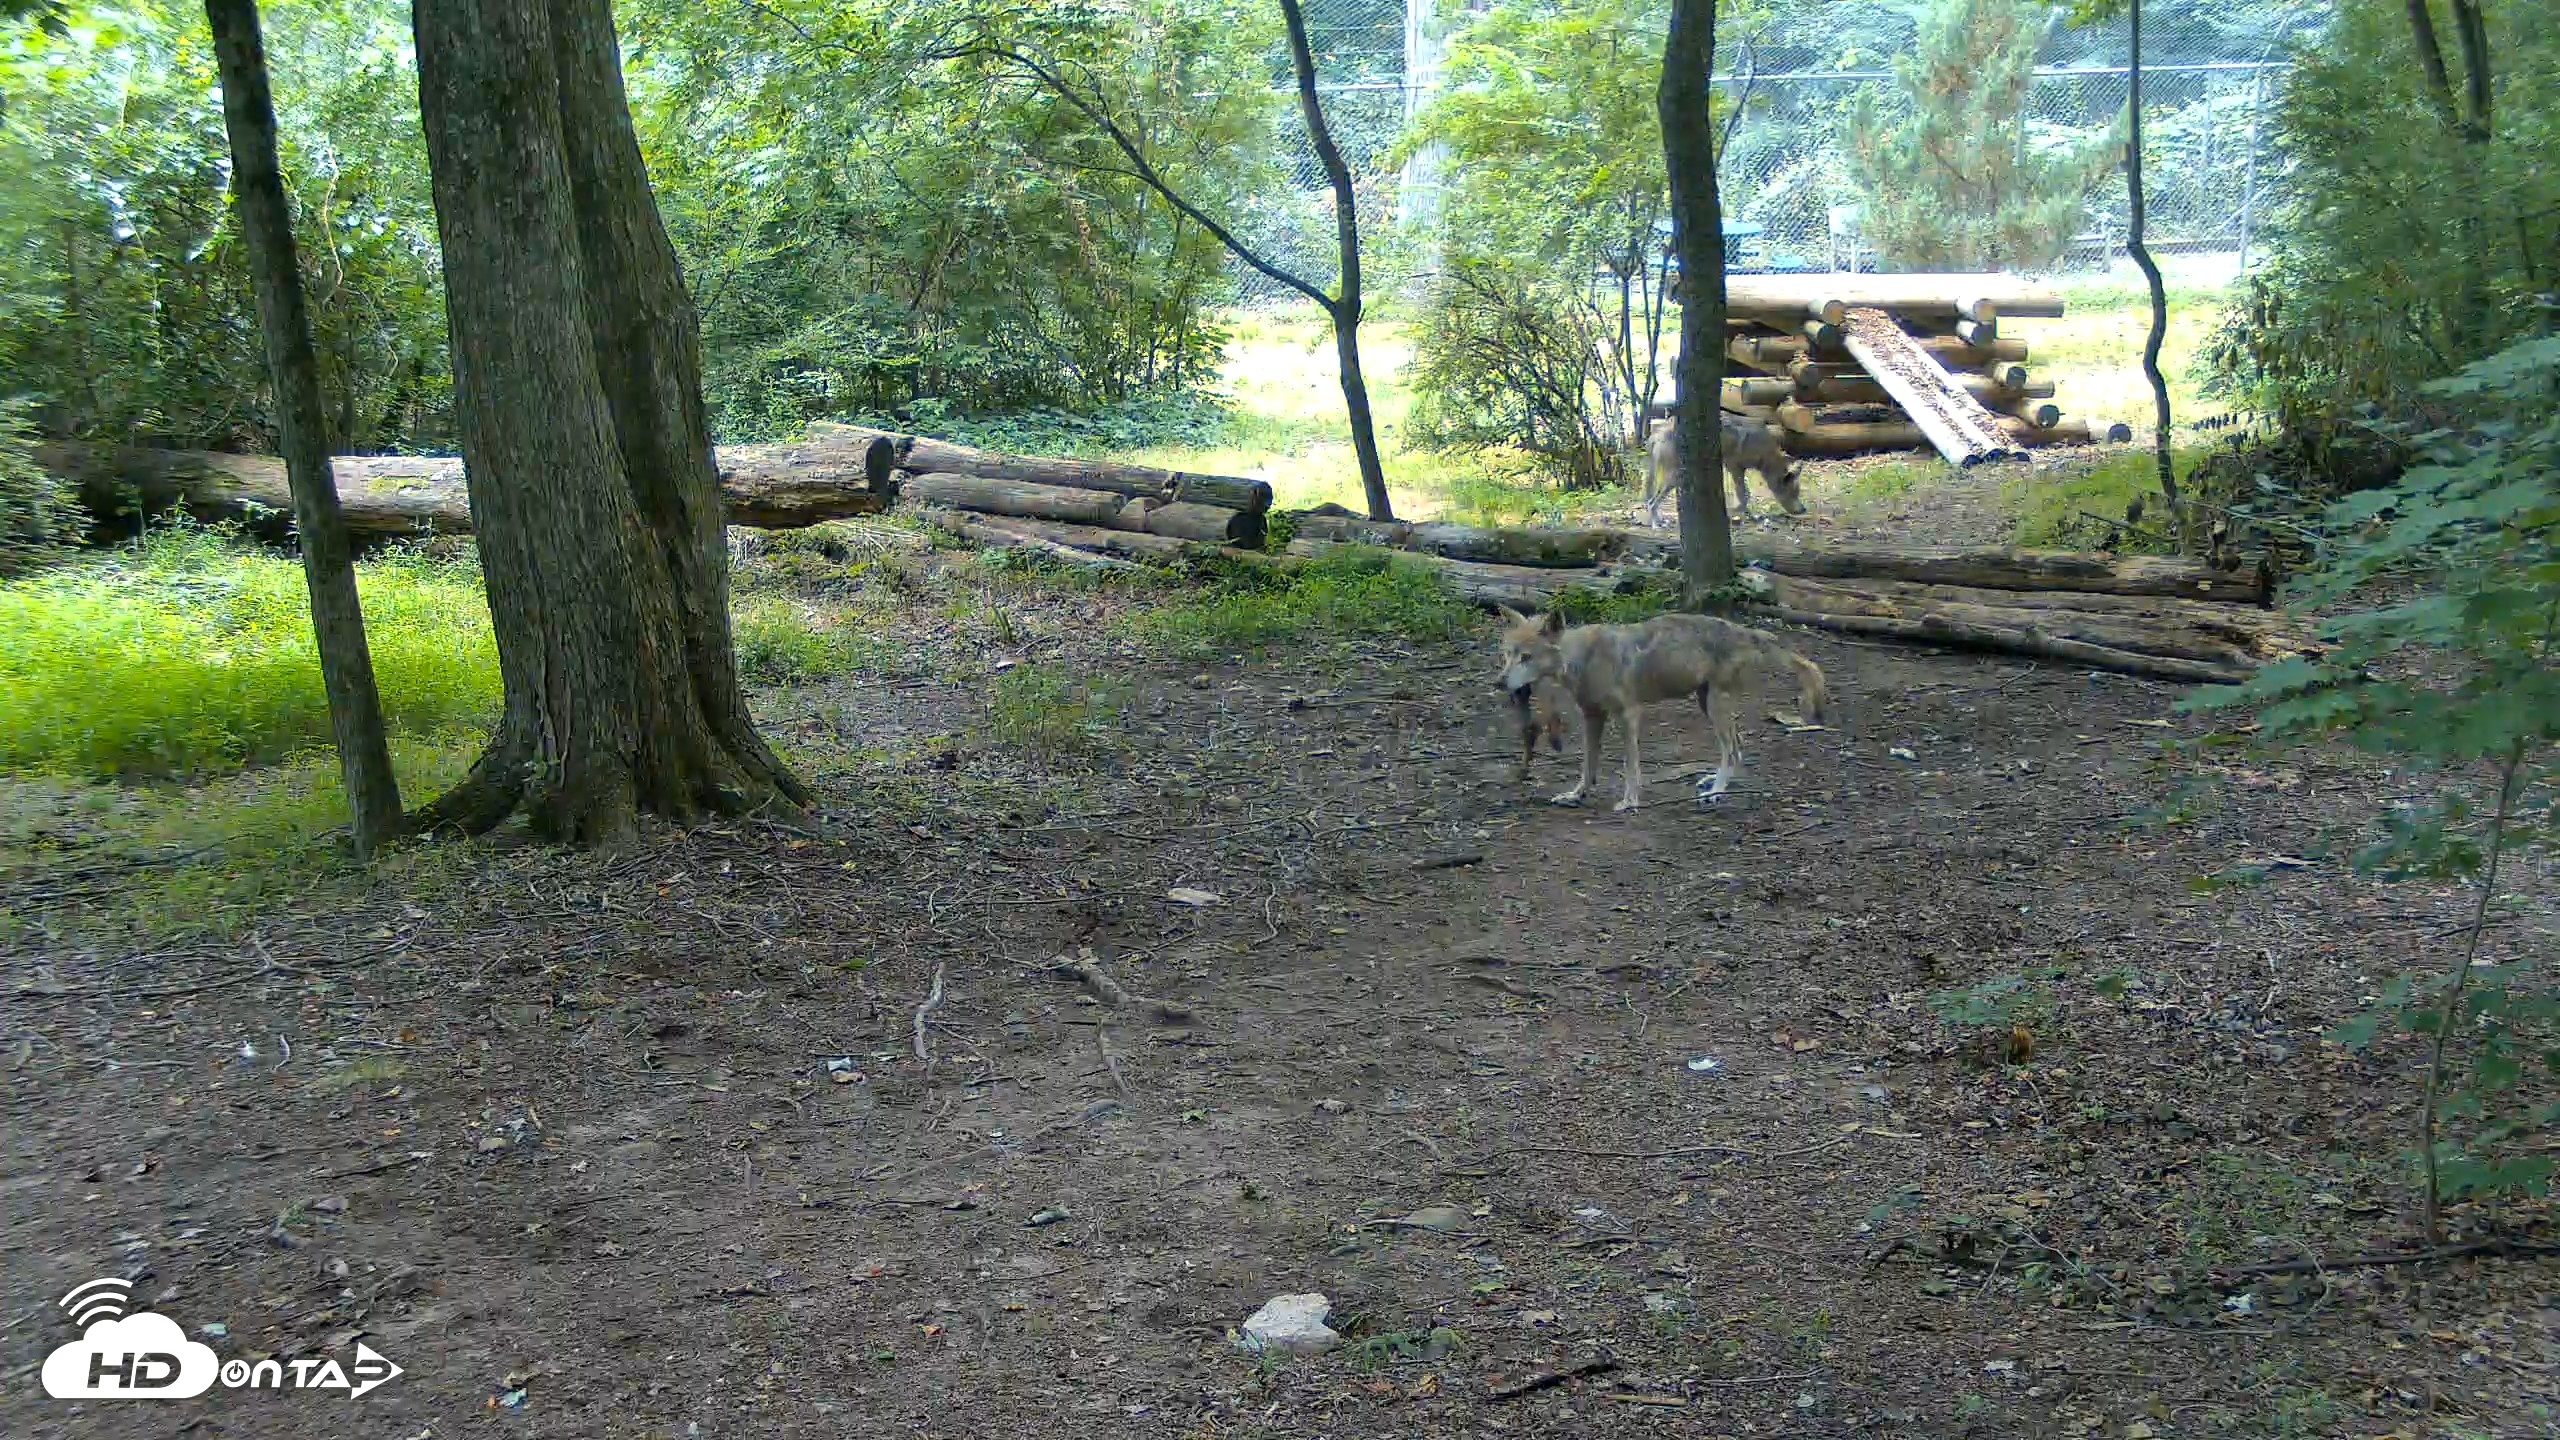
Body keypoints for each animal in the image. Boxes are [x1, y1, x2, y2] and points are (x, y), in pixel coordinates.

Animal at [1495, 606, 1828, 813]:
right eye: (1507, 655)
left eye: (1526, 657)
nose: (1499, 682)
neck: (1583, 658)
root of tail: (1748, 632)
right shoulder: (1592, 717)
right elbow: (1588, 766)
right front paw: (1577, 795)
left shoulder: (1629, 715)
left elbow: (1631, 766)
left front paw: (1630, 802)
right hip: (1706, 703)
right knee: (1738, 749)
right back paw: (1712, 783)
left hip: (1715, 706)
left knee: (1732, 751)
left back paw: (1715, 793)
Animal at [1641, 414, 1806, 527]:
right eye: (1794, 493)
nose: (1803, 509)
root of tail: (1657, 433)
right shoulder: (1734, 468)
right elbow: (1743, 498)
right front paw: (1732, 513)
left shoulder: (1736, 470)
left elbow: (1744, 496)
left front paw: (1750, 516)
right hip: (1675, 477)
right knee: (1651, 502)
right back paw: (1656, 525)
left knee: (1651, 500)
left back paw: (1660, 520)